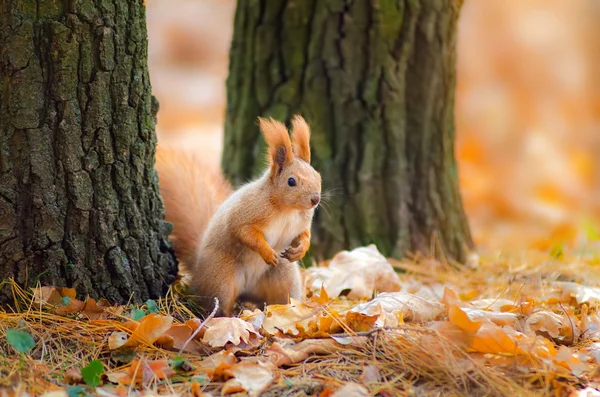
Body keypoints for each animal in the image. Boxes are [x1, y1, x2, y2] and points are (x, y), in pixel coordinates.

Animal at [157, 115, 322, 316]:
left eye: (318, 175)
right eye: (291, 181)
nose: (315, 199)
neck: (288, 210)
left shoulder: (301, 223)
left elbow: (304, 235)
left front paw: (300, 249)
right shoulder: (245, 214)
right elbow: (245, 233)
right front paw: (268, 253)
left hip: (284, 278)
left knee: (281, 299)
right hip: (221, 278)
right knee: (216, 305)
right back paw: (229, 317)